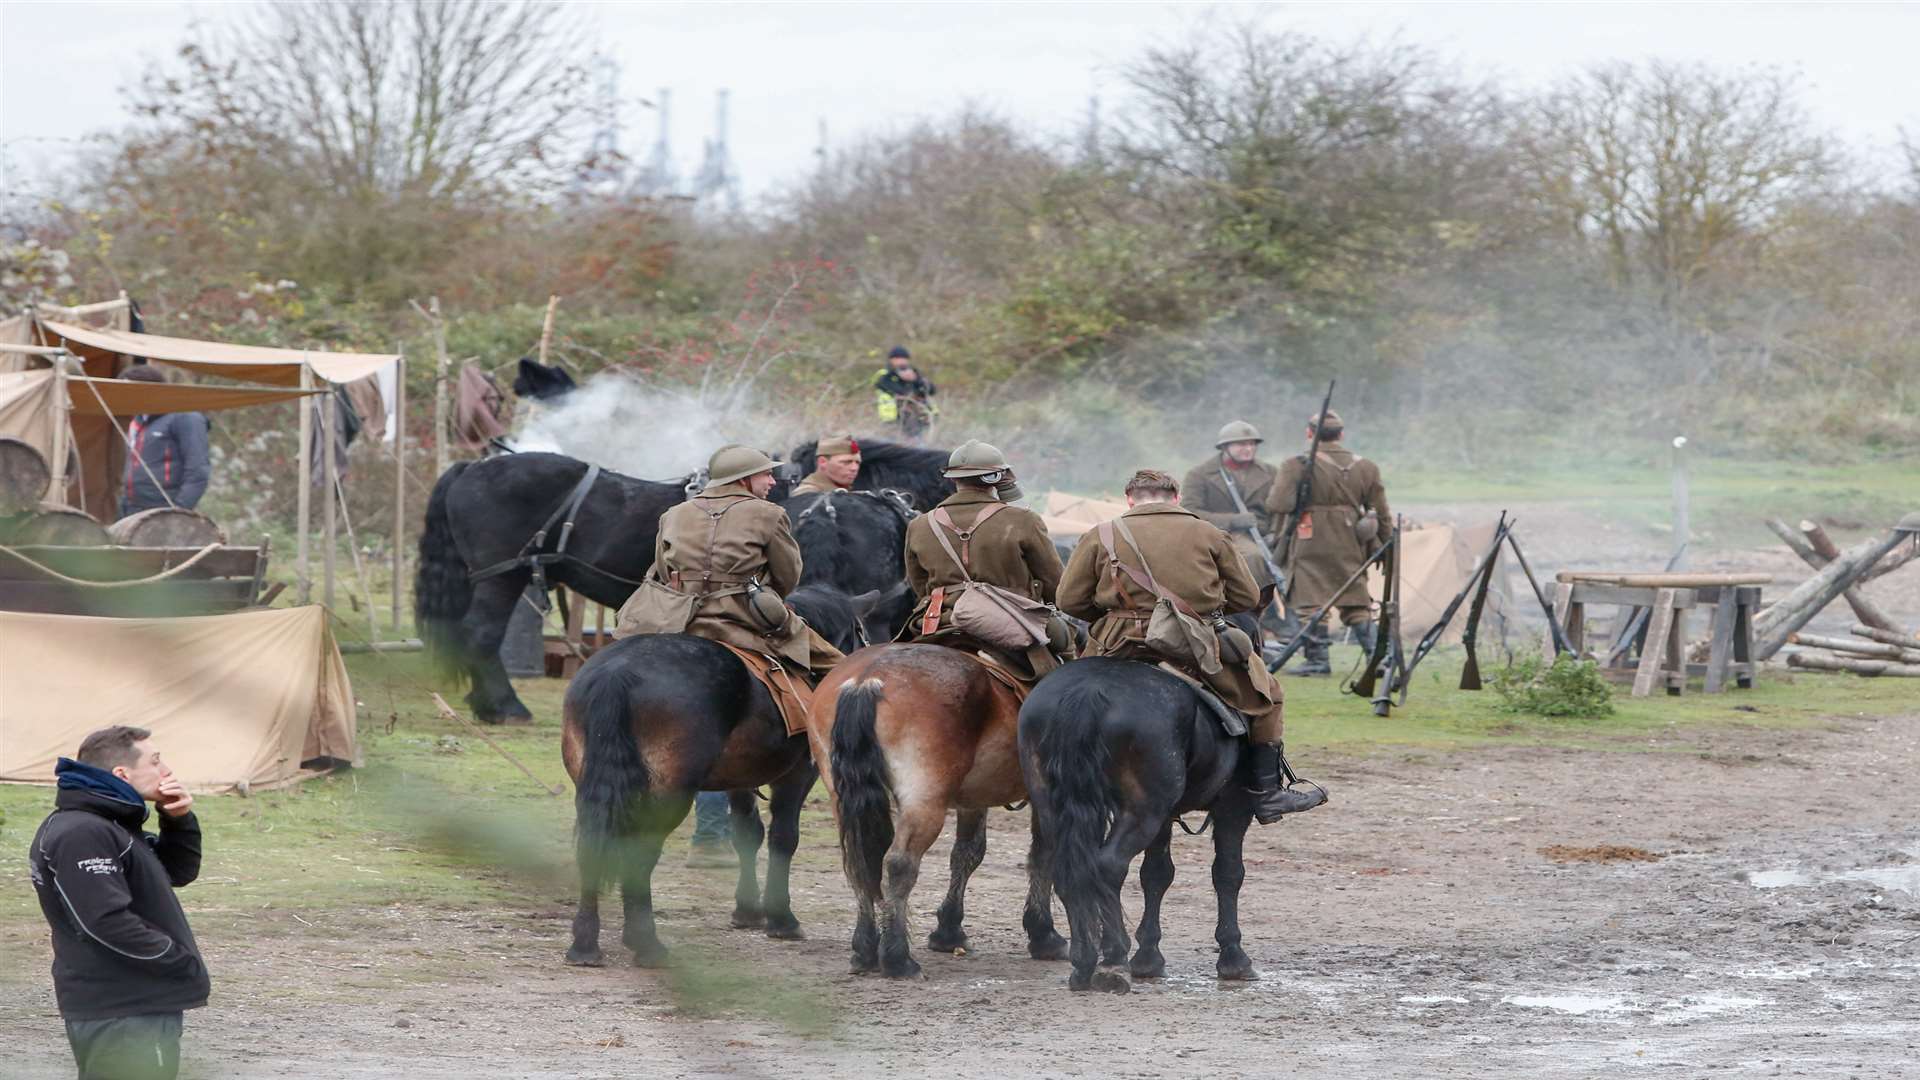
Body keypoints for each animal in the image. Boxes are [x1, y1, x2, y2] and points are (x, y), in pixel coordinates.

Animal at [560, 584, 879, 960]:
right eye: (861, 631)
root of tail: (617, 673)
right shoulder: (798, 774)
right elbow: (783, 837)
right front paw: (781, 918)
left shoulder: (740, 778)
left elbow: (747, 833)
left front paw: (747, 910)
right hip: (668, 795)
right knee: (639, 851)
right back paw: (645, 942)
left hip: (593, 786)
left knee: (592, 846)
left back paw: (585, 942)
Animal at [794, 638, 1067, 976]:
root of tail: (865, 680)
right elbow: (1043, 854)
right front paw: (1044, 934)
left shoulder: (973, 799)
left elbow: (967, 854)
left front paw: (949, 932)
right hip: (924, 801)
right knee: (899, 864)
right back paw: (897, 958)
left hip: (841, 798)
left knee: (859, 862)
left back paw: (865, 949)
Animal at [1021, 645, 1274, 991]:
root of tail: (1086, 691)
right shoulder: (1233, 807)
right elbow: (1228, 873)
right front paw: (1234, 958)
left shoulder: (1166, 817)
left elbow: (1156, 875)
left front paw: (1149, 957)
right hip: (1142, 812)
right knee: (1108, 866)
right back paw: (1113, 959)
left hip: (1055, 806)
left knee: (1067, 868)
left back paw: (1083, 961)